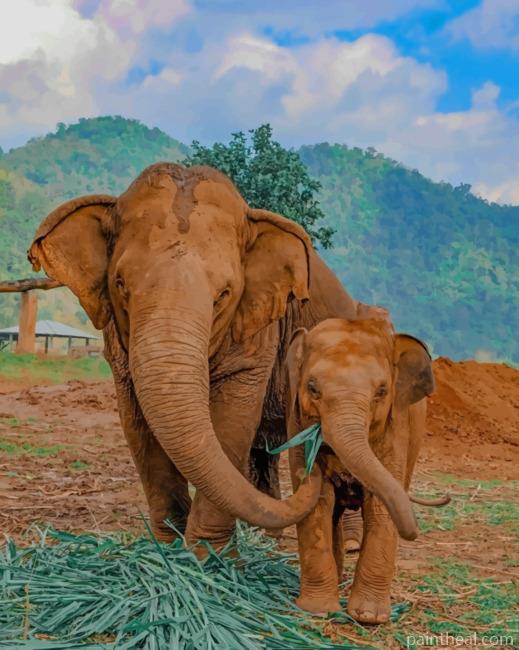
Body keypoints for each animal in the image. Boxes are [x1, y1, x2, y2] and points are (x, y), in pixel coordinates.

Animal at [27, 162, 419, 555]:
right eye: (121, 284)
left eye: (224, 294)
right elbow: (137, 423)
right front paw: (168, 550)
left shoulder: (258, 329)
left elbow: (232, 419)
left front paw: (209, 557)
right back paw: (268, 539)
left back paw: (346, 543)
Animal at [285, 317, 435, 624]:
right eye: (312, 388)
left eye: (381, 391)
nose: (414, 532)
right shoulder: (296, 423)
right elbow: (317, 504)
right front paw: (318, 610)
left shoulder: (395, 428)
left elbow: (379, 507)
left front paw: (368, 617)